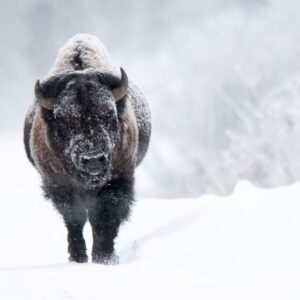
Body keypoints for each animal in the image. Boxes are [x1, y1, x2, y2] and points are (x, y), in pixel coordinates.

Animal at [23, 34, 151, 264]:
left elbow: (105, 217)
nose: (93, 159)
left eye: (109, 114)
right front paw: (78, 256)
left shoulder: (119, 179)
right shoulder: (59, 184)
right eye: (63, 121)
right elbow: (75, 219)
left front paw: (105, 256)